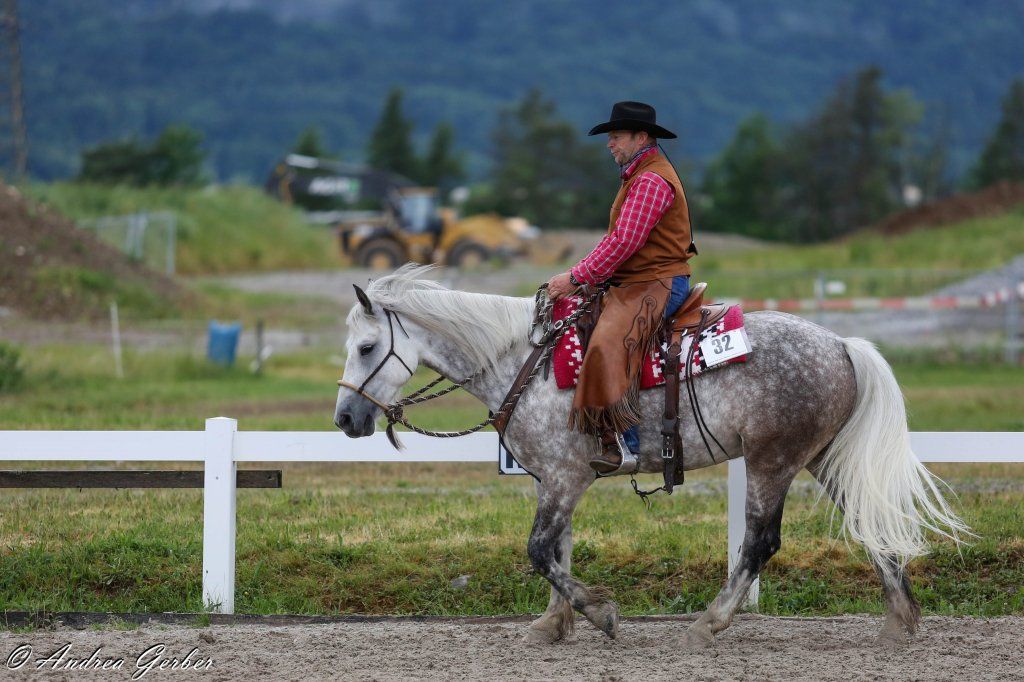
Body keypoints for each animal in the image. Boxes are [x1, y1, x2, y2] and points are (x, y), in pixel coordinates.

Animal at [333, 265, 968, 648]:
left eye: (366, 347)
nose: (344, 420)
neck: (525, 361)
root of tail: (841, 344)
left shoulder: (564, 477)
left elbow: (539, 549)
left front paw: (599, 613)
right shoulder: (554, 480)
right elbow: (557, 548)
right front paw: (552, 623)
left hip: (771, 462)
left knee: (759, 542)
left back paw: (710, 622)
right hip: (822, 459)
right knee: (867, 521)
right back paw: (900, 620)